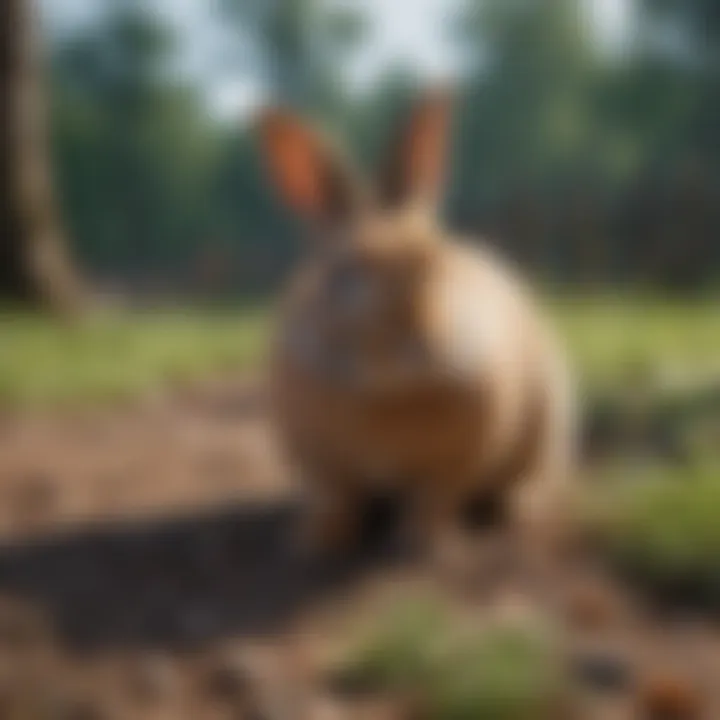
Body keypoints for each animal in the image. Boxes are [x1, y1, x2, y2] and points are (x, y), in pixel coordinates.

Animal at [256, 88, 576, 568]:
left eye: (434, 261)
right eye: (340, 274)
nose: (411, 342)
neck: (384, 395)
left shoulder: (455, 461)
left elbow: (434, 500)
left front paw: (422, 546)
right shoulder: (323, 463)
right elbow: (338, 498)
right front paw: (311, 544)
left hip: (545, 433)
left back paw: (514, 511)